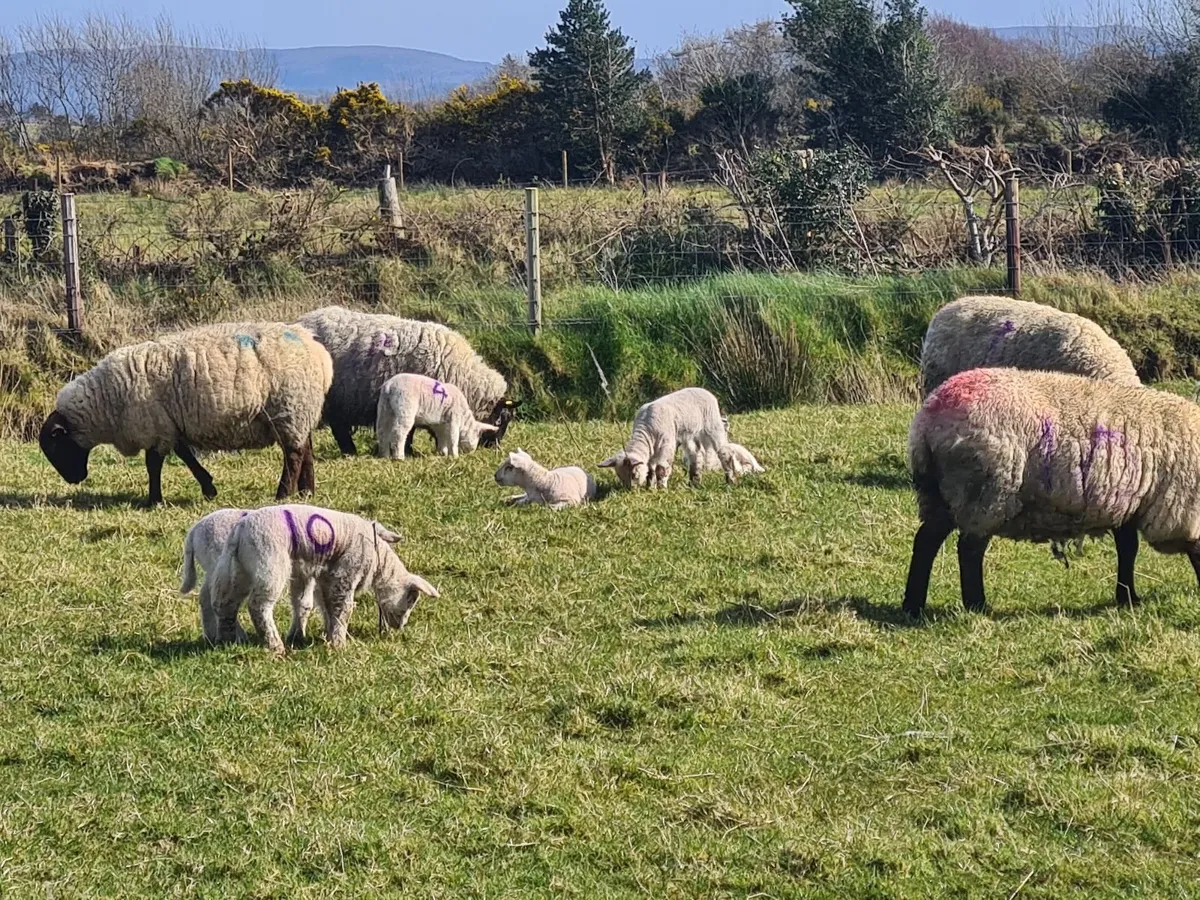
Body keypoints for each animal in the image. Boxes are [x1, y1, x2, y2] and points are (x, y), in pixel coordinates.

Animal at [39, 322, 332, 506]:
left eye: (55, 446)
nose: (75, 480)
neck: (106, 401)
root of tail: (319, 353)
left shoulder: (156, 428)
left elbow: (153, 464)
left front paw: (154, 500)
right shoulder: (170, 426)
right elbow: (186, 456)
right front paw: (208, 488)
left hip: (288, 408)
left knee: (293, 455)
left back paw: (283, 494)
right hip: (298, 412)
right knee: (305, 449)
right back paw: (306, 492)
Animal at [208, 504, 438, 654]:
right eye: (411, 599)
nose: (400, 627)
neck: (378, 558)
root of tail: (239, 533)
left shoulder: (325, 576)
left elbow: (326, 606)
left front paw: (327, 636)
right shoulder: (345, 572)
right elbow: (342, 608)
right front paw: (338, 643)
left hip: (238, 570)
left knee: (224, 603)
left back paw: (225, 641)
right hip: (269, 564)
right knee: (258, 606)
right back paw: (275, 645)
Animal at [296, 305, 512, 456]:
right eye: (500, 420)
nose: (495, 448)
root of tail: (299, 322)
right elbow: (410, 431)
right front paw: (409, 451)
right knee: (337, 428)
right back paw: (349, 451)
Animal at [599, 387, 736, 489]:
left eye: (633, 475)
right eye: (620, 476)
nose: (631, 490)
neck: (647, 431)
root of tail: (706, 392)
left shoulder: (666, 445)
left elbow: (662, 468)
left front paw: (661, 488)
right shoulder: (652, 451)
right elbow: (650, 469)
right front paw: (650, 487)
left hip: (713, 425)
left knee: (724, 452)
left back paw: (731, 480)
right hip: (690, 435)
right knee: (696, 455)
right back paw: (694, 483)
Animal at [903, 367, 1200, 617]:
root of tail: (928, 420)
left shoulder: (1125, 501)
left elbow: (1128, 548)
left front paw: (1127, 598)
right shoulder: (1180, 509)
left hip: (942, 495)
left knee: (926, 541)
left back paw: (913, 605)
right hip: (985, 492)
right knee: (969, 549)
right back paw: (978, 605)